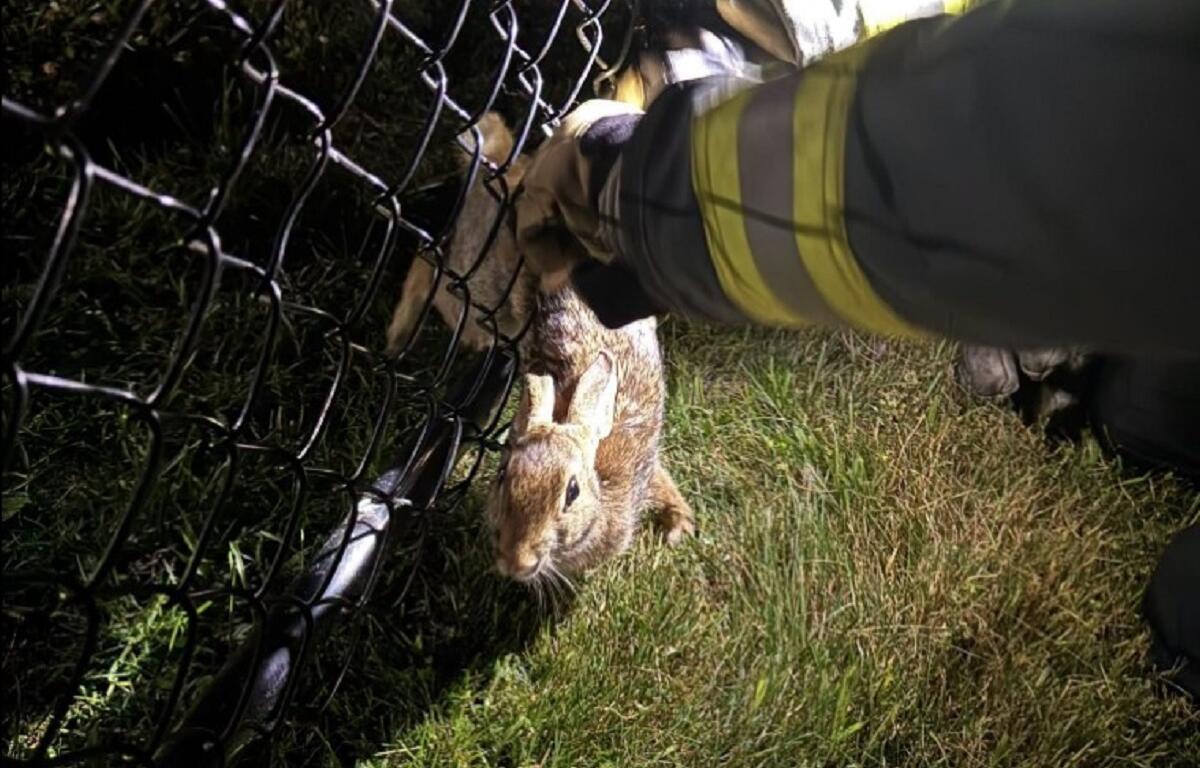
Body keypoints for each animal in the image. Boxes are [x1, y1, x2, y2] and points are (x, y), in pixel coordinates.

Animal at [385, 113, 695, 583]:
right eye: (501, 478)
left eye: (572, 492)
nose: (517, 562)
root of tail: (500, 174)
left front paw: (680, 526)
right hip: (480, 285)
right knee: (430, 264)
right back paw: (397, 337)